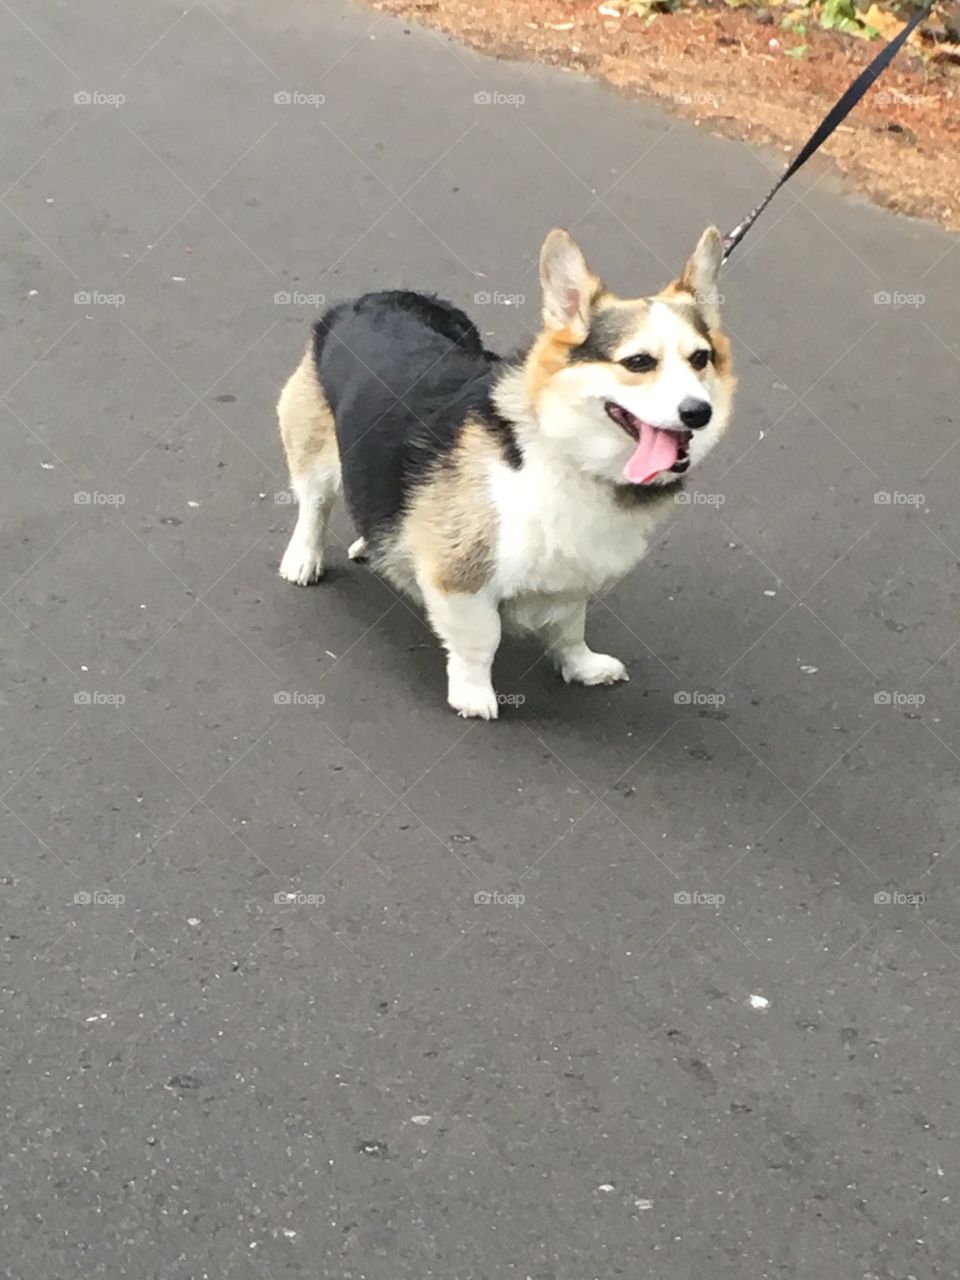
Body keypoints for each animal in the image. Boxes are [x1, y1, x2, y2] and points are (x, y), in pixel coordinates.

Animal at [277, 230, 737, 721]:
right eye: (638, 363)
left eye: (701, 358)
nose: (699, 413)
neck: (566, 453)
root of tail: (368, 299)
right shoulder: (462, 576)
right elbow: (482, 638)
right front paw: (474, 695)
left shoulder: (573, 572)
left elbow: (570, 626)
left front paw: (581, 666)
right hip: (314, 450)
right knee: (314, 505)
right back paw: (303, 558)